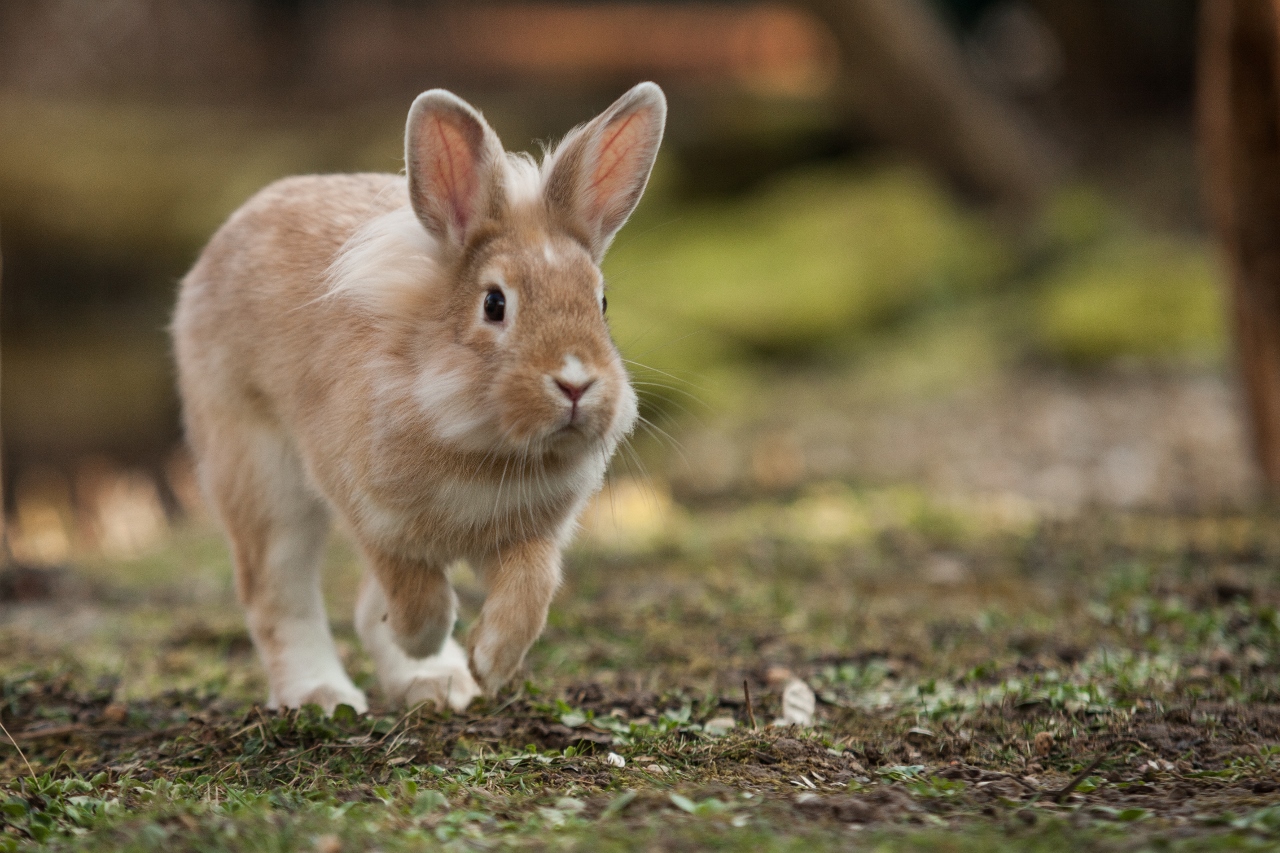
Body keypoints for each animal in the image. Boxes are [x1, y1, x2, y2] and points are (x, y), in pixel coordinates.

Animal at [171, 84, 665, 712]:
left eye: (600, 303)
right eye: (495, 304)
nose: (576, 382)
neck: (481, 444)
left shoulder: (532, 537)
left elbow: (529, 598)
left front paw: (488, 663)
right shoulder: (375, 518)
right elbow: (413, 593)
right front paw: (421, 638)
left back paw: (441, 683)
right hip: (260, 475)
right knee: (278, 594)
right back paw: (324, 696)